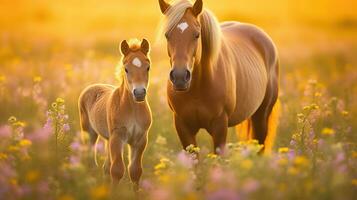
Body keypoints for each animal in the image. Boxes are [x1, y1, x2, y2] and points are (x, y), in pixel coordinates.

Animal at [78, 39, 151, 184]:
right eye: (126, 69)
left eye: (148, 67)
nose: (139, 93)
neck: (133, 110)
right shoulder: (117, 137)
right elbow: (117, 170)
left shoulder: (140, 139)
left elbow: (135, 171)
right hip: (89, 132)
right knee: (89, 160)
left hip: (107, 139)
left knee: (105, 167)